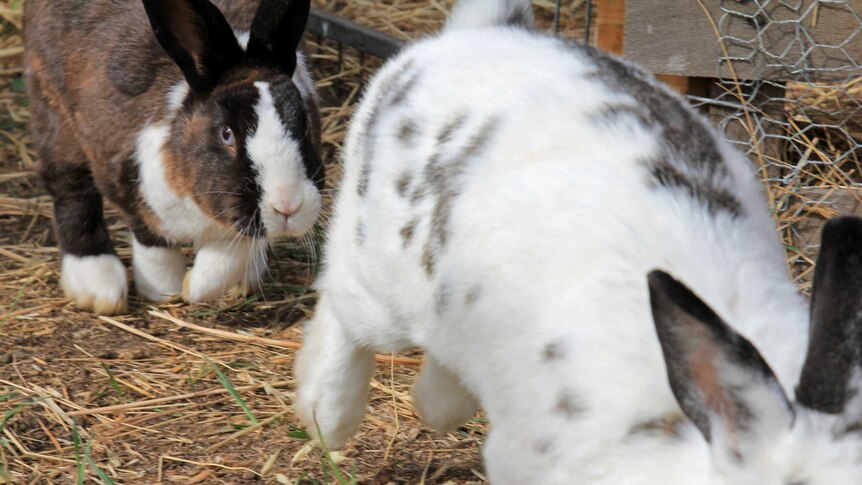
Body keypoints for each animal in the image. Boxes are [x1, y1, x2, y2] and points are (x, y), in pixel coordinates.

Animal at [27, 0, 324, 314]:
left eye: (304, 123)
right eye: (227, 134)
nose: (287, 206)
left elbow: (232, 254)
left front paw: (196, 285)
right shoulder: (135, 190)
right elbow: (153, 245)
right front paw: (166, 291)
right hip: (55, 115)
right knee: (72, 191)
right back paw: (98, 287)